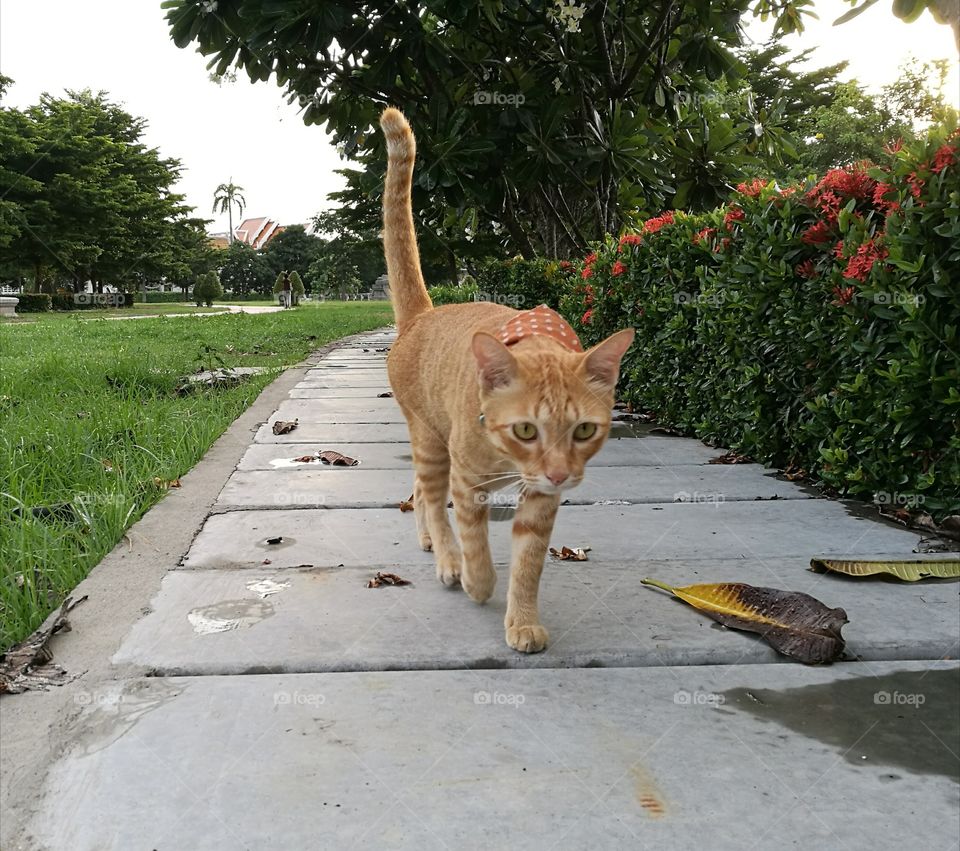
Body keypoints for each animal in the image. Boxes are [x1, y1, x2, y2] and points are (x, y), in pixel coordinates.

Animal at [378, 106, 632, 652]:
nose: (559, 474)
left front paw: (522, 619)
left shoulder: (540, 503)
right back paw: (445, 556)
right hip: (430, 438)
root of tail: (423, 315)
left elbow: (528, 563)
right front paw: (476, 580)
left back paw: (428, 540)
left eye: (584, 430)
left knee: (421, 492)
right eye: (525, 429)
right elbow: (474, 538)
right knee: (432, 497)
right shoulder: (467, 479)